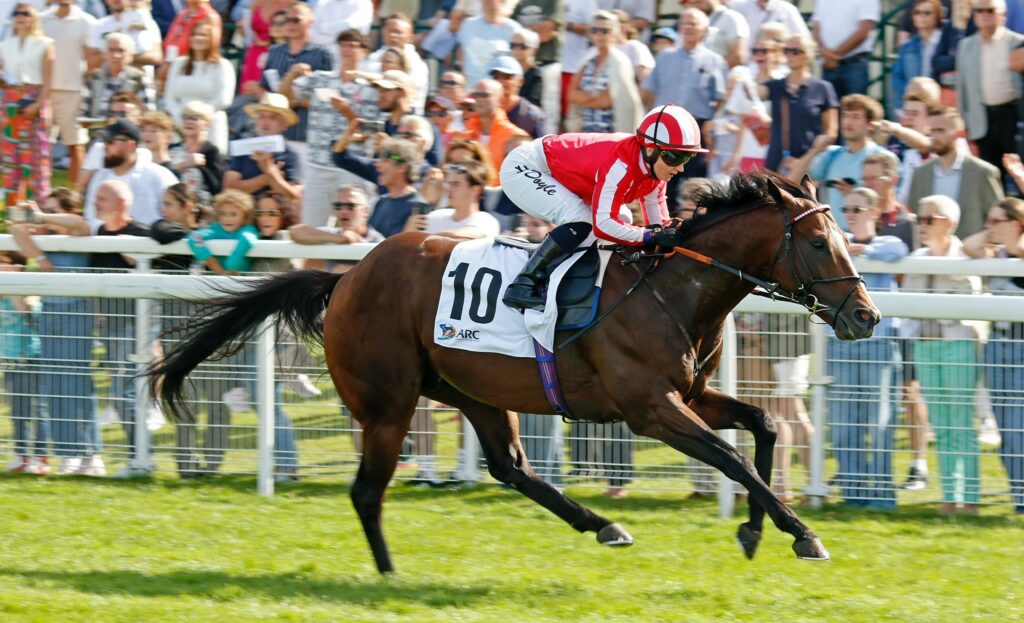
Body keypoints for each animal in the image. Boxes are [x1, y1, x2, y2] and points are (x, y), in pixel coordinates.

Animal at [149, 173, 880, 573]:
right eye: (820, 242)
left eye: (846, 237)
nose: (866, 316)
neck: (673, 285)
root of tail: (347, 276)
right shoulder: (650, 408)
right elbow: (734, 458)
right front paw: (802, 533)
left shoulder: (691, 393)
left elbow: (762, 428)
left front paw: (758, 529)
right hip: (389, 403)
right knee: (366, 491)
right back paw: (388, 573)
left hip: (473, 390)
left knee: (510, 466)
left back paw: (602, 524)